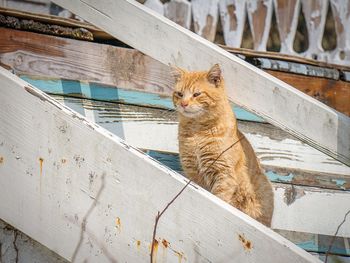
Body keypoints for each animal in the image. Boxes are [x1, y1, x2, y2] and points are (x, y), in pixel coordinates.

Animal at [172, 64, 274, 227]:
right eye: (180, 94)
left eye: (197, 94)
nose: (183, 104)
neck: (197, 131)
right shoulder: (193, 173)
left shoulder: (223, 173)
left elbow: (218, 199)